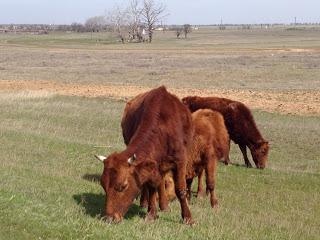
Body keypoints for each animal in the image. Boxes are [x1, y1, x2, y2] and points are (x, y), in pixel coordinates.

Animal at [95, 87, 195, 224]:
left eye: (123, 186)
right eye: (103, 186)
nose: (109, 218)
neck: (163, 128)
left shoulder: (180, 162)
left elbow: (180, 189)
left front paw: (188, 218)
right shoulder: (150, 165)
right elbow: (151, 186)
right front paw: (151, 213)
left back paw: (164, 206)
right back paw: (146, 203)